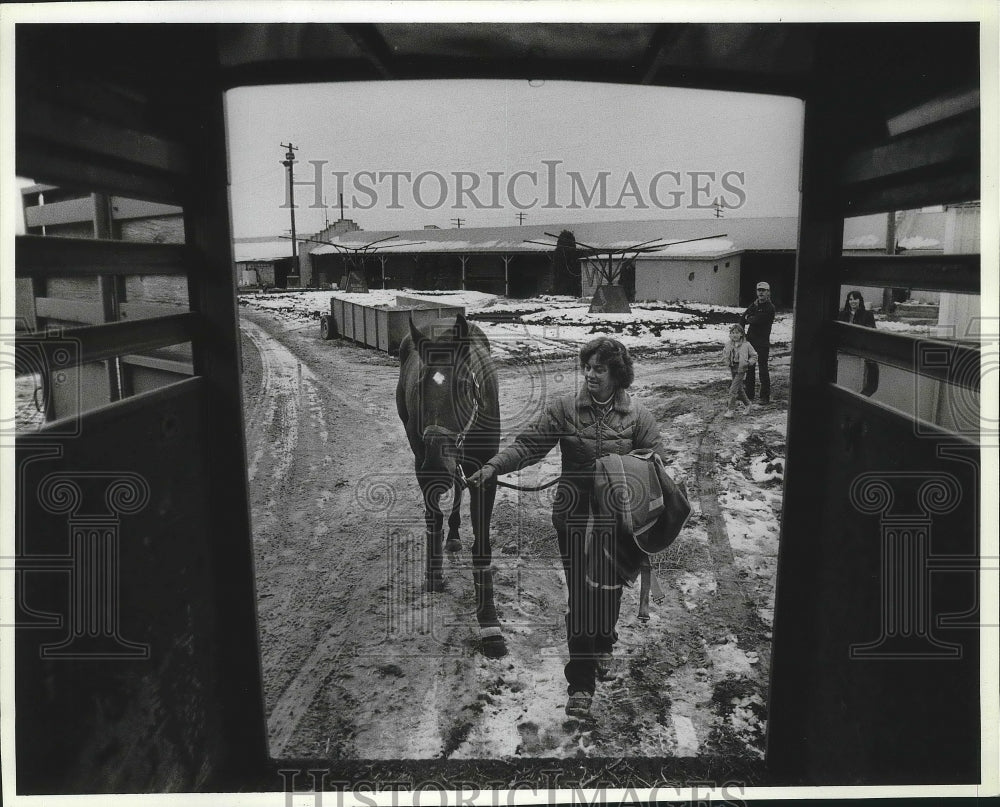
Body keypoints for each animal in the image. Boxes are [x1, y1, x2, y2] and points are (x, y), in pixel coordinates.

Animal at [394, 312, 508, 660]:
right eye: (419, 386)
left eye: (462, 386)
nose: (434, 469)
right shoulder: (424, 465)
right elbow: (433, 518)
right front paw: (434, 574)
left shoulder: (486, 474)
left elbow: (482, 550)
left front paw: (489, 623)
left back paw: (456, 533)